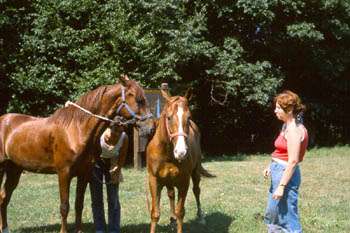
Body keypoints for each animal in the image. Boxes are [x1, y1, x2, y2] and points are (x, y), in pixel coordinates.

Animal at [0, 75, 150, 232]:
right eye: (138, 99)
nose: (150, 127)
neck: (75, 130)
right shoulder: (64, 173)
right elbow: (64, 206)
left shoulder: (84, 174)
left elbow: (79, 204)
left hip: (14, 170)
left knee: (4, 197)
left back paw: (5, 228)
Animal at [146, 88, 213, 233]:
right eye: (169, 117)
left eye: (189, 117)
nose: (181, 152)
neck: (167, 154)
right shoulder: (154, 180)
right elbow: (155, 213)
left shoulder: (184, 182)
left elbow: (180, 212)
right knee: (171, 194)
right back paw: (172, 220)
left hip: (195, 172)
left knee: (196, 190)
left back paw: (200, 217)